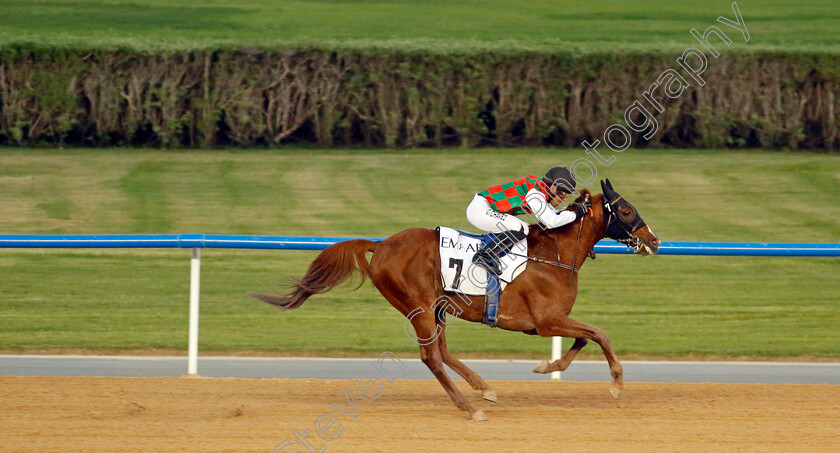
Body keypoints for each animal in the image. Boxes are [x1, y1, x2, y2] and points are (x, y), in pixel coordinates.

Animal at [249, 178, 656, 418]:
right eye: (626, 210)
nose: (654, 240)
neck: (555, 254)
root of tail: (381, 244)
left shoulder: (553, 320)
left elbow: (585, 338)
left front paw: (547, 367)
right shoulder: (545, 321)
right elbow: (598, 333)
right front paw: (616, 382)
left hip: (438, 307)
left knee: (442, 351)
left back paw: (483, 389)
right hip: (418, 306)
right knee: (430, 356)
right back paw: (466, 405)